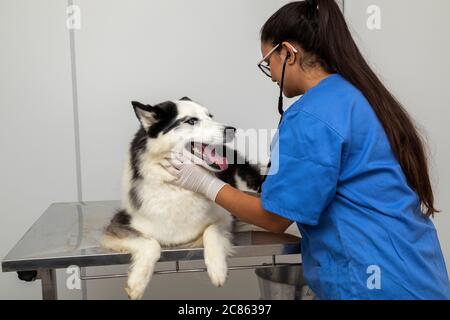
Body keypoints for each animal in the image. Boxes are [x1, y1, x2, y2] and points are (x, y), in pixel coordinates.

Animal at [101, 96, 264, 298]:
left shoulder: (226, 216)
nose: (232, 130)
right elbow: (151, 244)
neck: (177, 187)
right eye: (191, 121)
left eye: (210, 116)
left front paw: (217, 269)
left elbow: (211, 231)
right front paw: (137, 283)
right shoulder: (119, 223)